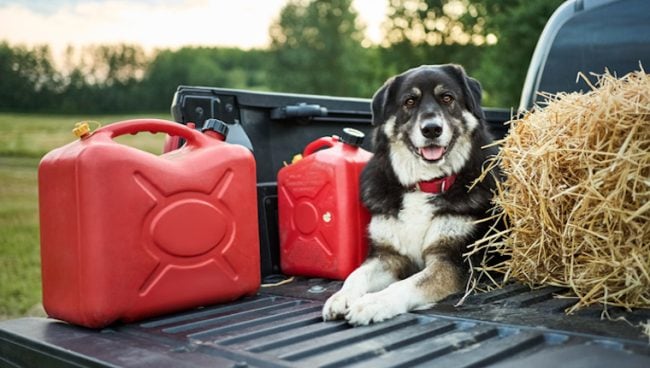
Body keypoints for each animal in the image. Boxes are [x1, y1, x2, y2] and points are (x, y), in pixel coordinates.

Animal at [320, 64, 496, 326]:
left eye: (447, 98)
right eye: (410, 101)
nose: (432, 129)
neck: (425, 184)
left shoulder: (451, 261)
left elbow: (407, 285)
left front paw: (373, 303)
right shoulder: (389, 255)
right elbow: (356, 275)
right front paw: (341, 297)